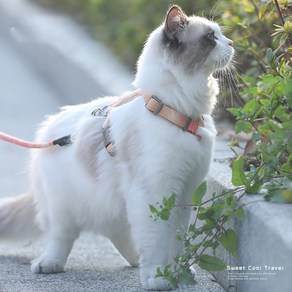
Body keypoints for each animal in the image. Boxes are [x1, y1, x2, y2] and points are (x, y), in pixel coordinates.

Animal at [0, 5, 234, 292]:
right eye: (211, 38)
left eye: (220, 34)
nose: (231, 43)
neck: (175, 113)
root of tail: (49, 125)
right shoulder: (155, 193)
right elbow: (157, 241)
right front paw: (158, 278)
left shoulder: (183, 193)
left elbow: (175, 240)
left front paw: (177, 272)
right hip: (64, 208)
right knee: (62, 237)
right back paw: (49, 264)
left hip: (116, 203)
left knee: (118, 232)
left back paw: (134, 261)